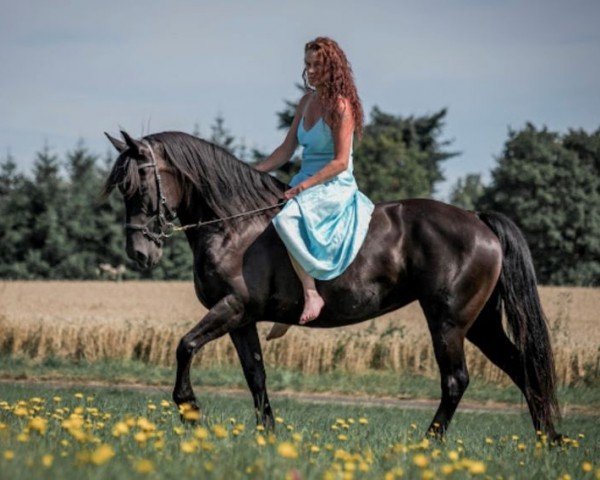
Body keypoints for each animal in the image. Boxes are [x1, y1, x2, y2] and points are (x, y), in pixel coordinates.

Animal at [104, 130, 564, 438]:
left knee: (456, 380)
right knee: (523, 368)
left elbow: (185, 346)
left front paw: (189, 408)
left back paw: (428, 445)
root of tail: (478, 220)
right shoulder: (242, 320)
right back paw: (549, 441)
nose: (139, 253)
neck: (233, 225)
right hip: (480, 323)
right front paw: (267, 435)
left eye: (137, 186)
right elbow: (256, 375)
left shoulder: (231, 308)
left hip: (449, 322)